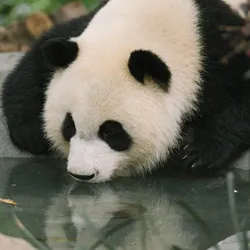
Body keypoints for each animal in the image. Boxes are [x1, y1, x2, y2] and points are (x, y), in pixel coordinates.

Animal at [1, 0, 250, 183]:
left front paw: (201, 153)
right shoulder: (79, 30)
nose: (82, 174)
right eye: (69, 126)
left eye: (112, 131)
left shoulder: (216, 49)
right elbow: (38, 56)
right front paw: (29, 133)